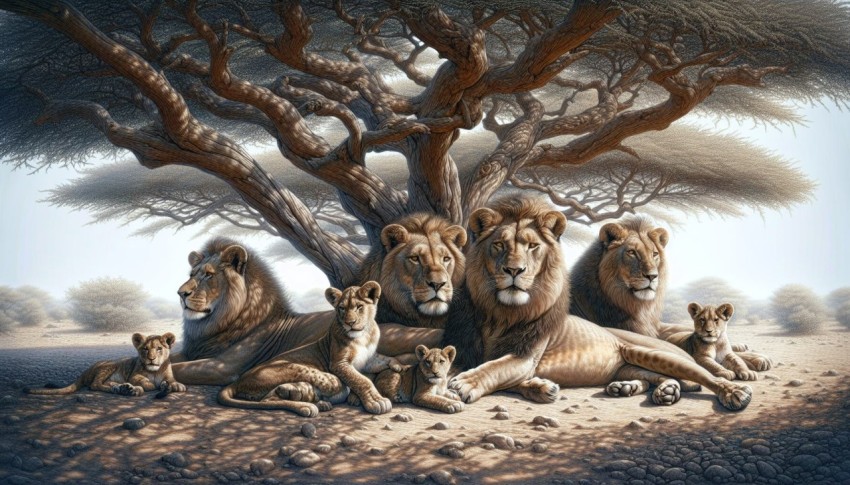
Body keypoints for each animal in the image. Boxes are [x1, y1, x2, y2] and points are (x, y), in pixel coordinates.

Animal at [26, 333, 186, 397]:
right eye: (145, 349)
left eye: (159, 349)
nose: (151, 359)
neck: (154, 371)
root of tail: (85, 371)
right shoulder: (133, 375)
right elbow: (145, 381)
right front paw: (150, 384)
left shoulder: (168, 375)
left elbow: (172, 381)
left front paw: (177, 385)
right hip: (111, 365)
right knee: (95, 385)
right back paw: (126, 389)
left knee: (107, 384)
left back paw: (122, 388)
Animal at [170, 237, 443, 386]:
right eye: (191, 274)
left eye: (208, 275)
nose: (181, 293)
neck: (211, 325)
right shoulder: (194, 352)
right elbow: (171, 359)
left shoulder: (224, 367)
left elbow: (177, 369)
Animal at [217, 281, 400, 416]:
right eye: (341, 308)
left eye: (359, 307)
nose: (350, 323)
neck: (363, 335)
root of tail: (238, 381)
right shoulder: (338, 363)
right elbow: (362, 380)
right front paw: (376, 401)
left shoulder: (368, 358)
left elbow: (382, 359)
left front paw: (397, 365)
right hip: (291, 369)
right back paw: (311, 402)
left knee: (271, 397)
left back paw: (309, 399)